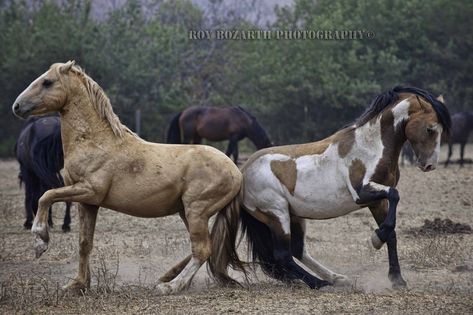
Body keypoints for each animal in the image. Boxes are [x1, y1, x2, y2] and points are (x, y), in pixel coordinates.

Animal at [11, 62, 243, 296]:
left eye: (47, 82)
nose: (17, 106)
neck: (95, 142)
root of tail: (237, 173)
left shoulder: (88, 190)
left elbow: (46, 196)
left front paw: (40, 241)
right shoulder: (87, 202)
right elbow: (84, 243)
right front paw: (78, 284)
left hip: (196, 211)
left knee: (202, 249)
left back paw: (170, 286)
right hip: (186, 212)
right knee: (205, 246)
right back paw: (166, 277)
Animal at [210, 87, 450, 292]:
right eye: (430, 128)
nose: (429, 165)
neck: (369, 146)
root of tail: (243, 172)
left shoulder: (377, 201)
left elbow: (391, 232)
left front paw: (397, 279)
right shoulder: (362, 193)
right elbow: (395, 197)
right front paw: (376, 239)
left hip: (293, 216)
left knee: (297, 251)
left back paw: (337, 278)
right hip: (277, 215)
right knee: (283, 255)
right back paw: (320, 284)